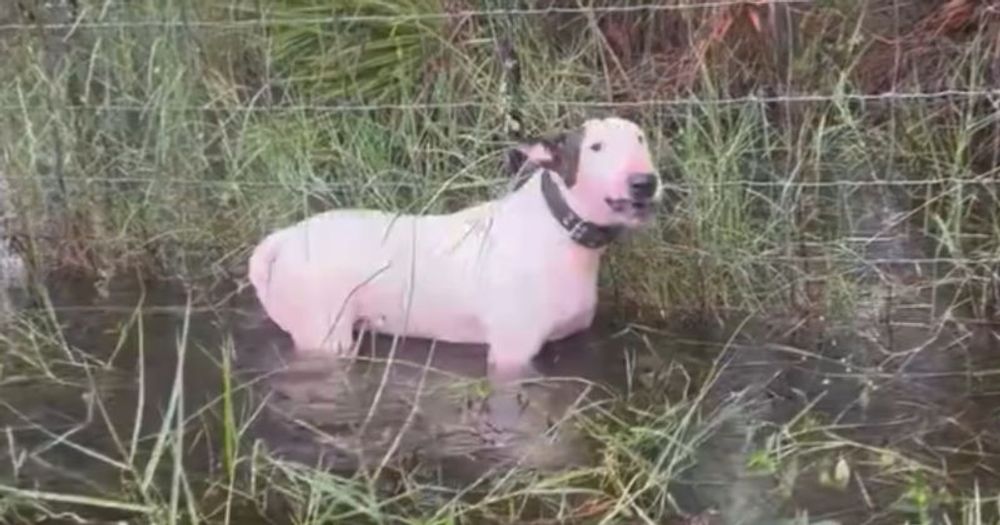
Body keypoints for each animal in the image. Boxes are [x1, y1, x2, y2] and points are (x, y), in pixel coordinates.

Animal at [249, 115, 668, 376]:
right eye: (595, 147)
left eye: (641, 139)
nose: (644, 182)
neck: (557, 227)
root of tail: (282, 238)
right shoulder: (512, 354)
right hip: (324, 334)